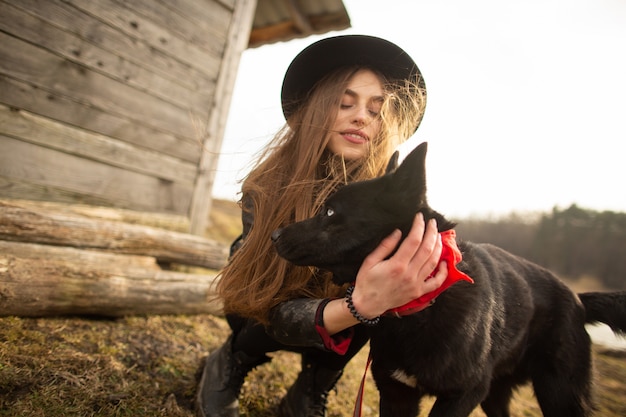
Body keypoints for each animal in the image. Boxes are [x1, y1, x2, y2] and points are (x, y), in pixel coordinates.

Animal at [272, 141, 624, 414]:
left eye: (330, 212)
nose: (274, 235)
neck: (423, 304)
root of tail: (578, 299)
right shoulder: (397, 393)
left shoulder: (462, 395)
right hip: (497, 395)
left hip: (559, 394)